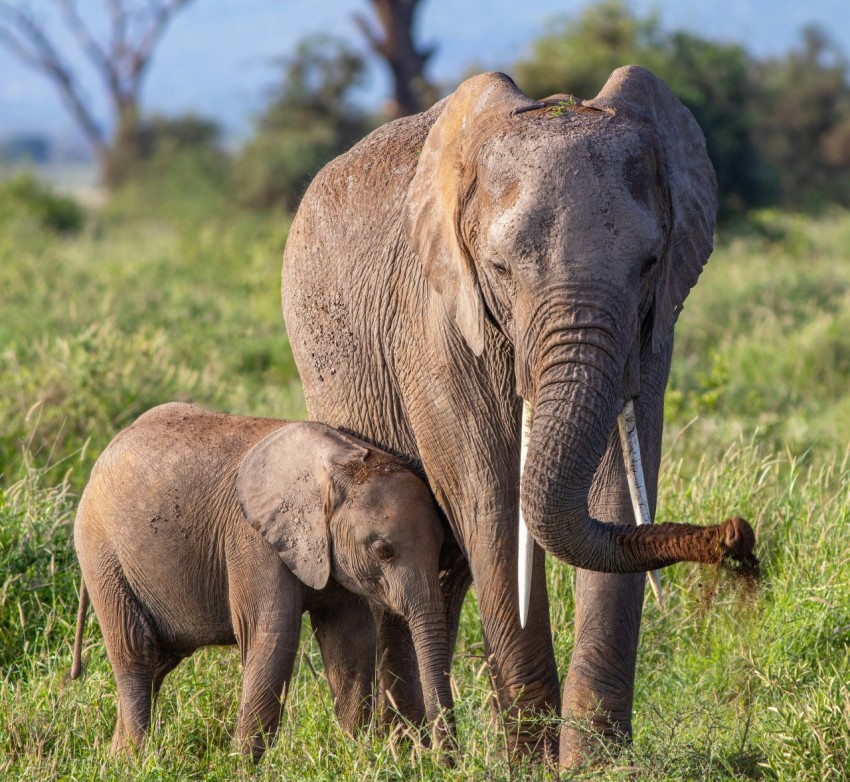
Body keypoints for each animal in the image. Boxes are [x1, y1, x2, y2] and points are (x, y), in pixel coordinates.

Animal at [71, 402, 453, 762]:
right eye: (383, 551)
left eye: (442, 546)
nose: (444, 760)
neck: (339, 462)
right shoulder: (253, 540)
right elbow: (272, 638)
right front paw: (241, 768)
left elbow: (352, 642)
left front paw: (358, 757)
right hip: (102, 554)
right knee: (136, 653)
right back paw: (136, 760)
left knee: (158, 663)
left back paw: (117, 759)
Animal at [281, 66, 755, 767]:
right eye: (500, 269)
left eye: (648, 264)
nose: (736, 537)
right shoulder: (439, 323)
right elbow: (494, 504)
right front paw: (530, 763)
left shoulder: (652, 330)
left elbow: (616, 497)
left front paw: (598, 765)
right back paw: (405, 755)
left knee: (444, 572)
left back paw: (432, 752)